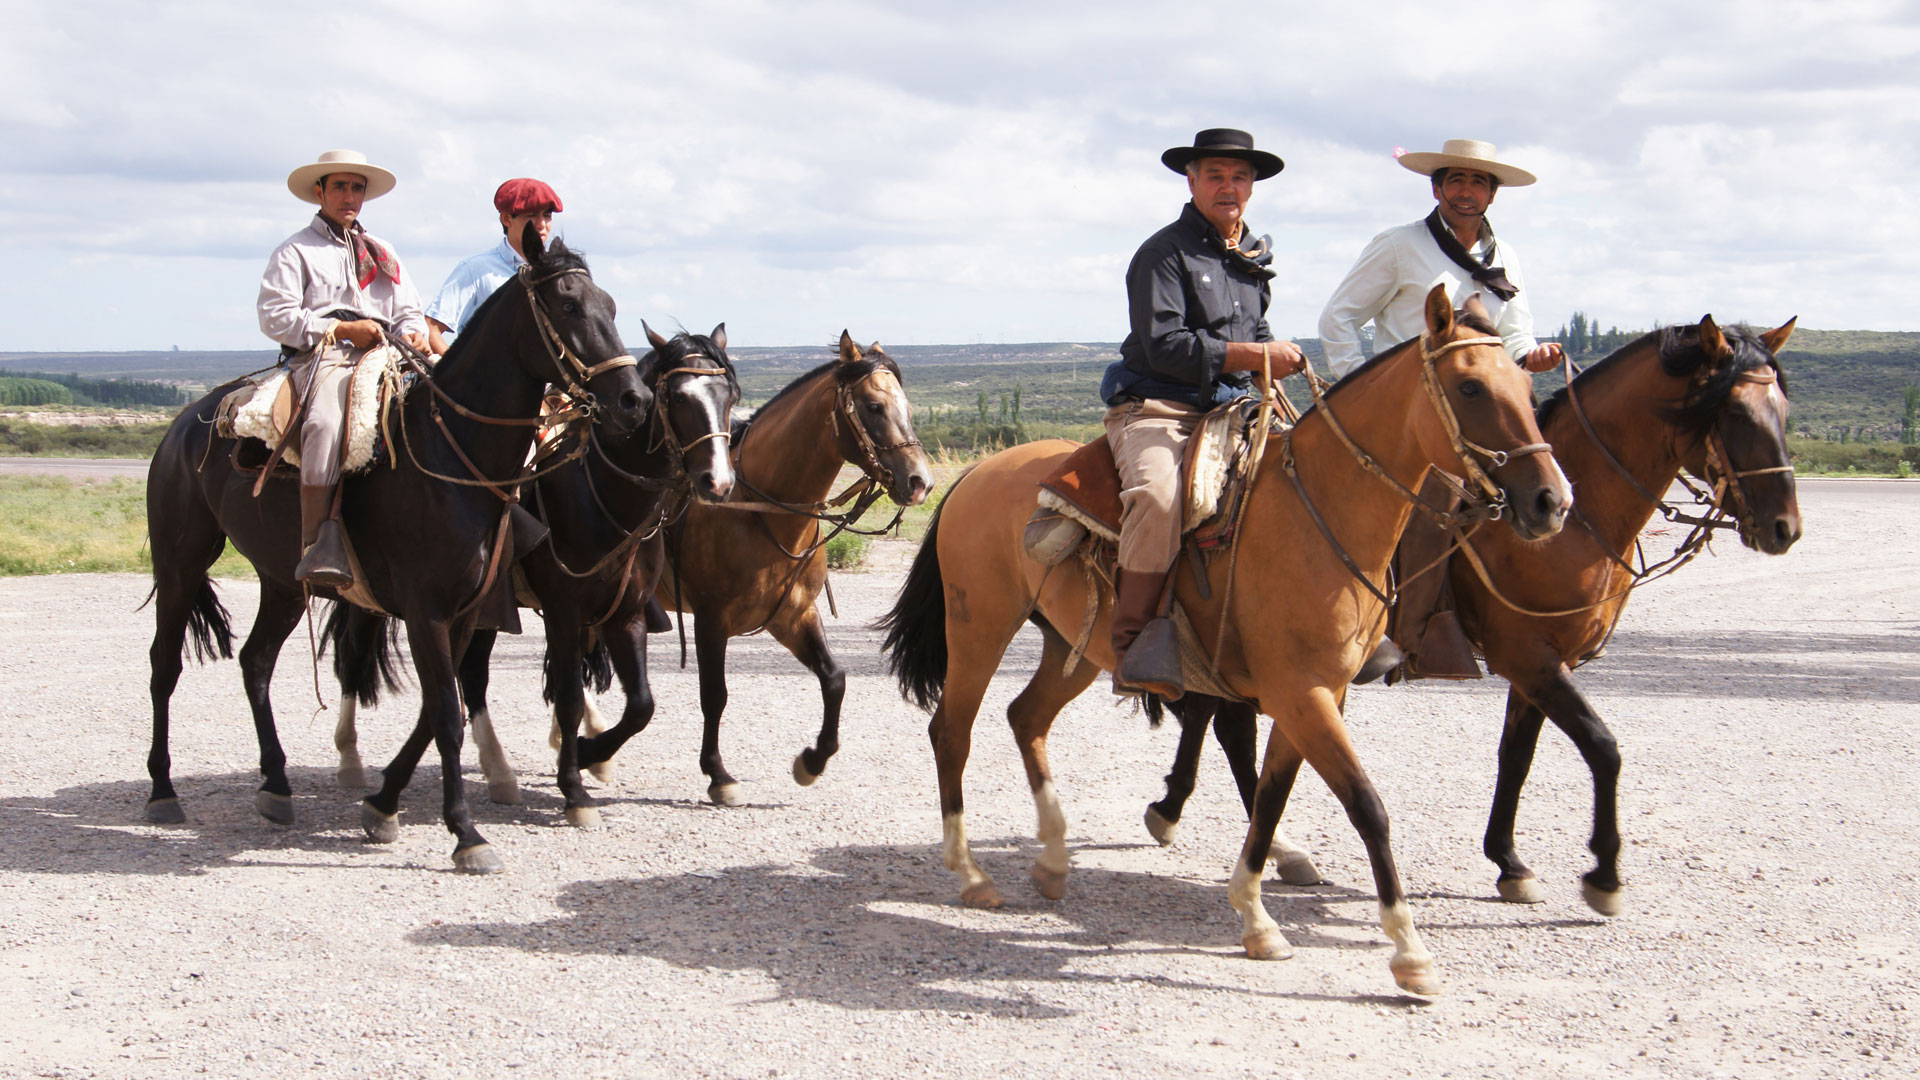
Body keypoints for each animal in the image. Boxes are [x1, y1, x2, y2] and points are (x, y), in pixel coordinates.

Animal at [144, 224, 652, 864]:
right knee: (164, 665)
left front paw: (383, 807)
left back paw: (276, 785)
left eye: (609, 306)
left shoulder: (466, 610)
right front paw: (466, 834)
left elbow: (439, 710)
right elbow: (448, 716)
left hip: (282, 582)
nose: (634, 400)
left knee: (256, 662)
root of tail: (187, 423)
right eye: (568, 306)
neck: (451, 458)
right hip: (180, 563)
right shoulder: (427, 610)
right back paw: (162, 790)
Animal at [322, 319, 741, 822]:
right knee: (355, 657)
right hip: (377, 599)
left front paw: (590, 753)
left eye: (730, 396)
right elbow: (569, 698)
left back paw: (498, 771)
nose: (717, 482)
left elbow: (640, 705)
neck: (603, 495)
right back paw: (349, 759)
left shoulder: (626, 614)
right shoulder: (562, 612)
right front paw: (574, 780)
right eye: (677, 397)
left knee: (471, 677)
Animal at [883, 288, 1574, 991]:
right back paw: (971, 874)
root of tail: (974, 476)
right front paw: (1409, 952)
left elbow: (1270, 797)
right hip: (980, 628)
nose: (1551, 501)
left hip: (1070, 647)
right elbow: (1366, 805)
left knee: (1026, 717)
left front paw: (1256, 918)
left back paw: (1052, 861)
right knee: (953, 731)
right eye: (1469, 387)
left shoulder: (1314, 695)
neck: (1319, 512)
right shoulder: (1302, 694)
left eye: (1527, 383)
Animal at [1144, 311, 1804, 914]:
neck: (1584, 520)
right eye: (1736, 415)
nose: (1784, 528)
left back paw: (1191, 813)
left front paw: (1509, 861)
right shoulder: (1528, 656)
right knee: (1220, 718)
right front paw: (1604, 875)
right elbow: (1602, 746)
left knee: (1214, 715)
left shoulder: (1543, 663)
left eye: (1784, 411)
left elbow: (1517, 756)